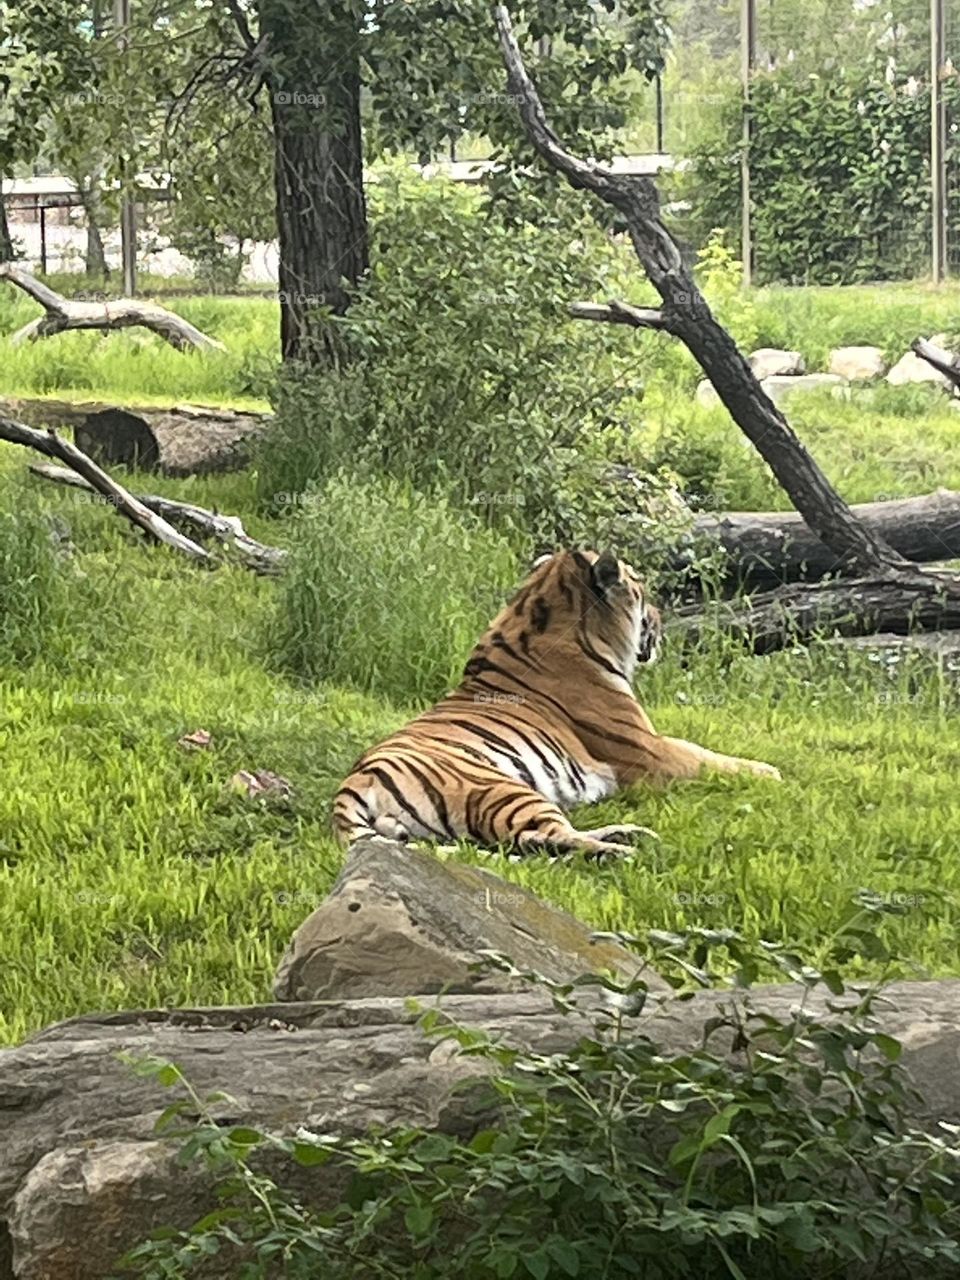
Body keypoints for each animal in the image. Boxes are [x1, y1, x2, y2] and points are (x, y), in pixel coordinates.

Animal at [332, 549, 781, 859]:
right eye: (641, 589)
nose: (660, 616)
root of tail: (354, 783)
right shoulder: (650, 752)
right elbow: (711, 757)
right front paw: (771, 772)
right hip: (498, 787)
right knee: (543, 837)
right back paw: (625, 851)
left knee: (538, 840)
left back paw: (628, 834)